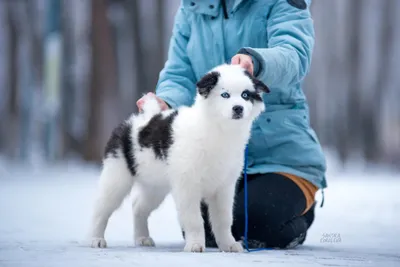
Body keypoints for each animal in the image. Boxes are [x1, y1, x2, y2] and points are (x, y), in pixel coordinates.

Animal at [89, 63, 270, 252]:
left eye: (245, 95)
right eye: (225, 94)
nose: (238, 108)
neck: (218, 130)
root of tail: (139, 120)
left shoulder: (224, 187)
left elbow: (224, 219)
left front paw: (229, 245)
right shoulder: (187, 185)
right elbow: (194, 219)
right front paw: (195, 245)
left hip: (155, 185)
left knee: (138, 206)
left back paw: (142, 237)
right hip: (117, 176)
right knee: (101, 208)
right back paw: (96, 239)